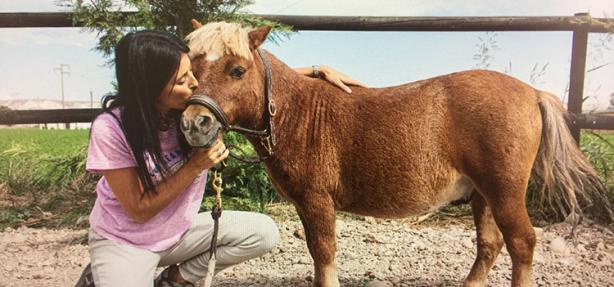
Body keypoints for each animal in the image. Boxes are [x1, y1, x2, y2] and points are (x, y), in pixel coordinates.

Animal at [180, 22, 608, 287]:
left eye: (237, 70)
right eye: (192, 67)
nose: (194, 123)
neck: (297, 111)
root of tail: (532, 93)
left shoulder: (318, 201)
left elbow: (324, 252)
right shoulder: (307, 203)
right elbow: (318, 254)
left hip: (504, 191)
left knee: (521, 243)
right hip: (484, 195)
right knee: (490, 245)